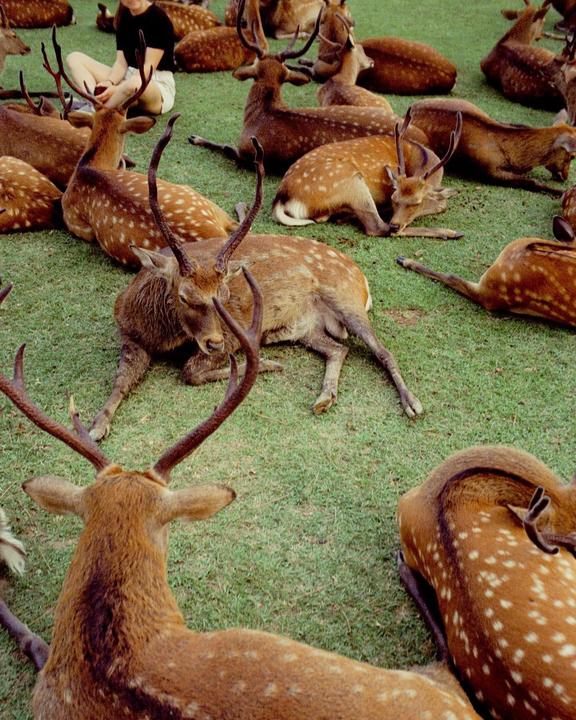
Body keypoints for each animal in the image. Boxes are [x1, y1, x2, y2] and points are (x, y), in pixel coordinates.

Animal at [90, 116, 422, 440]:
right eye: (184, 295)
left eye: (225, 296)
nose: (214, 343)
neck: (160, 333)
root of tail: (362, 280)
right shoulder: (129, 334)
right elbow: (121, 381)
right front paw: (97, 425)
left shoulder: (236, 335)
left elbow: (190, 371)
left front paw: (265, 364)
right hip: (306, 327)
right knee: (339, 348)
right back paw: (325, 397)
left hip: (345, 298)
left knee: (381, 350)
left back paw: (412, 403)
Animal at [272, 110, 463, 239]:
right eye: (394, 198)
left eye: (416, 203)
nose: (395, 225)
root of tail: (282, 197)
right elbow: (441, 204)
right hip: (352, 182)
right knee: (377, 228)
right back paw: (451, 232)